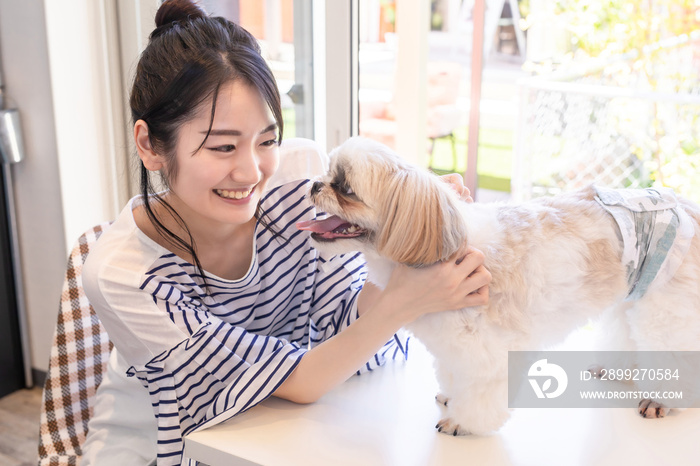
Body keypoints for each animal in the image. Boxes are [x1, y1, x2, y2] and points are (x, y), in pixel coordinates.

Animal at [296, 137, 700, 436]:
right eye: (327, 172)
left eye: (346, 188)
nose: (314, 184)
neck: (448, 247)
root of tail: (688, 206)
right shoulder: (452, 344)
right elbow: (453, 372)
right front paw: (451, 396)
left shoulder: (491, 351)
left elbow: (483, 393)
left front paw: (464, 421)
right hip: (633, 295)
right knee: (626, 333)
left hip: (668, 309)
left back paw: (662, 400)